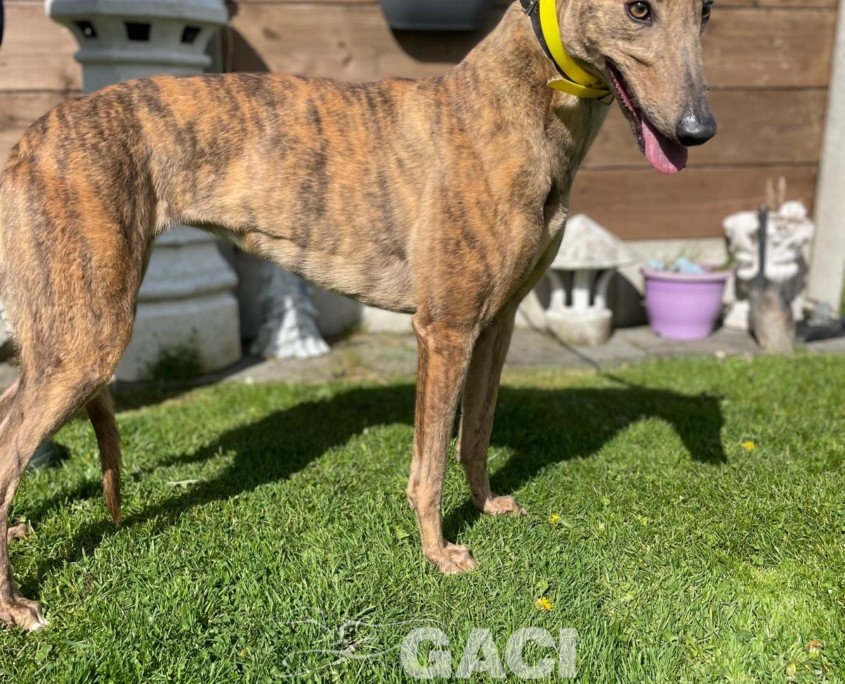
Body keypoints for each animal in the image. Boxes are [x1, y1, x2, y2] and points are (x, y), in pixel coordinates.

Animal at [0, 0, 715, 629]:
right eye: (639, 9)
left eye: (706, 10)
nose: (699, 130)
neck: (518, 100)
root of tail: (27, 139)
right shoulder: (446, 330)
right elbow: (428, 466)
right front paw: (439, 554)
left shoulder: (497, 325)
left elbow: (475, 436)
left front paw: (487, 506)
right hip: (87, 339)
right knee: (10, 450)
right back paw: (15, 606)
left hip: (56, 336)